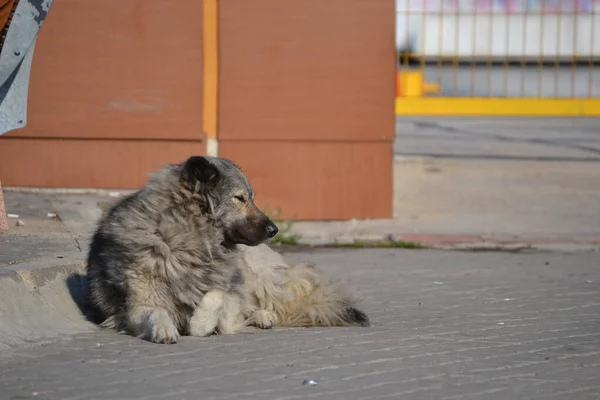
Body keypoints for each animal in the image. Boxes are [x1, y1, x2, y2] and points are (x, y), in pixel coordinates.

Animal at [86, 156, 368, 344]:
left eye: (251, 197)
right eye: (239, 198)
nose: (274, 230)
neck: (189, 241)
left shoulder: (233, 288)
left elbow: (218, 295)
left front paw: (200, 324)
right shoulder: (134, 306)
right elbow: (155, 311)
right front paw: (165, 329)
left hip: (258, 272)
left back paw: (263, 316)